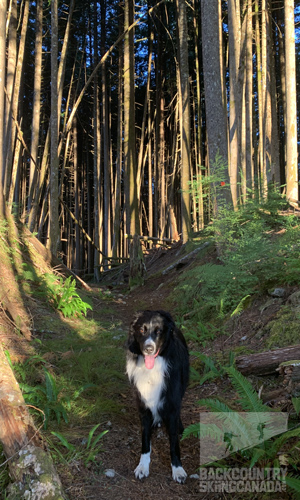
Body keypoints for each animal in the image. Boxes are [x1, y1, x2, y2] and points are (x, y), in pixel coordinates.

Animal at [125, 310, 189, 482]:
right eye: (142, 330)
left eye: (159, 331)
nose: (148, 348)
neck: (152, 369)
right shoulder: (143, 407)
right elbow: (145, 439)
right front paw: (143, 466)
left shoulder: (172, 407)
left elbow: (173, 442)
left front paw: (177, 469)